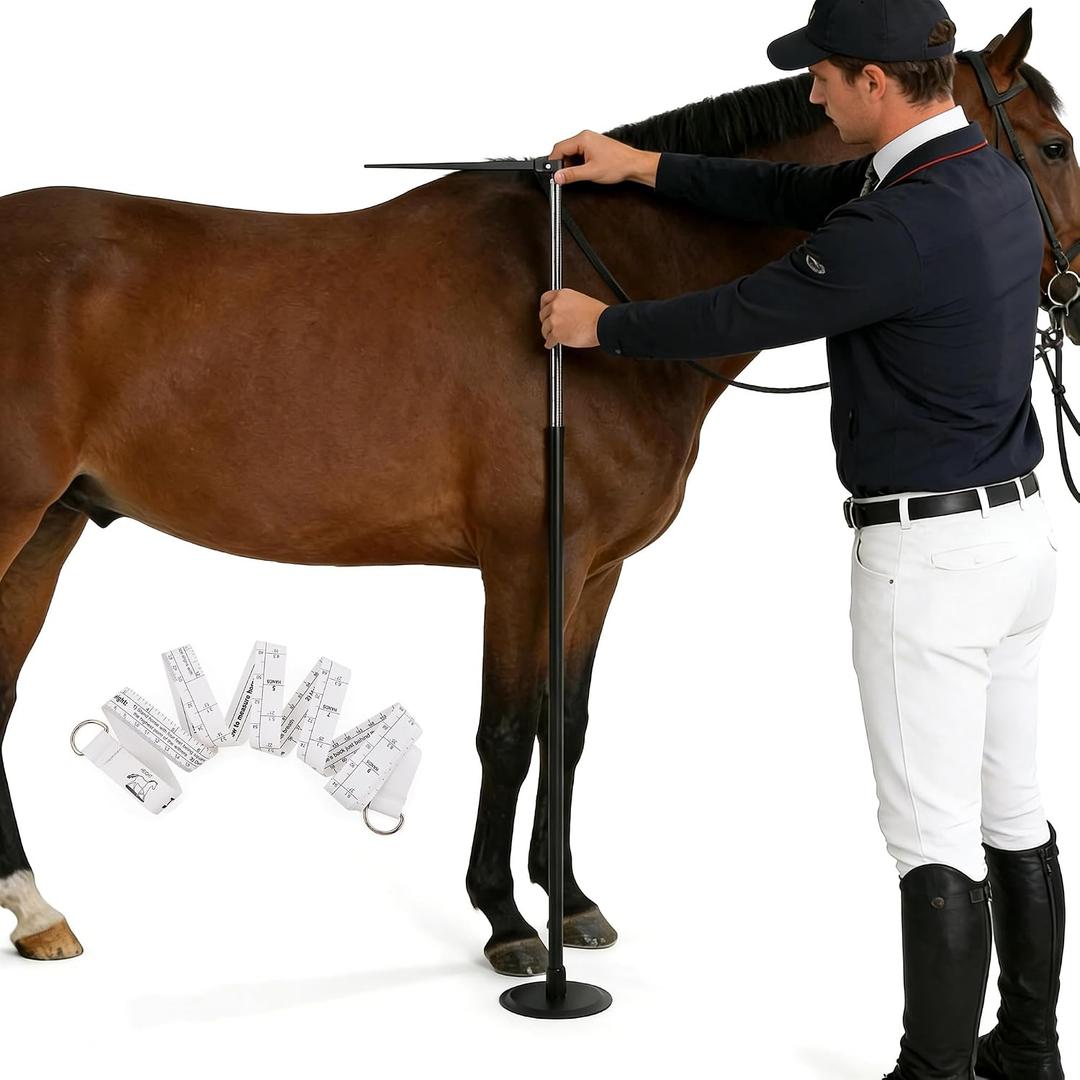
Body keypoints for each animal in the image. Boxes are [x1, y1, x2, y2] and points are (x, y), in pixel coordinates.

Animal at [0, 8, 1076, 972]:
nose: (1070, 293)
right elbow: (510, 732)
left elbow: (571, 728)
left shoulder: (594, 570)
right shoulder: (527, 560)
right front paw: (507, 921)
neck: (587, 285)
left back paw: (36, 910)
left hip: (51, 529)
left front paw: (574, 900)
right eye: (1056, 145)